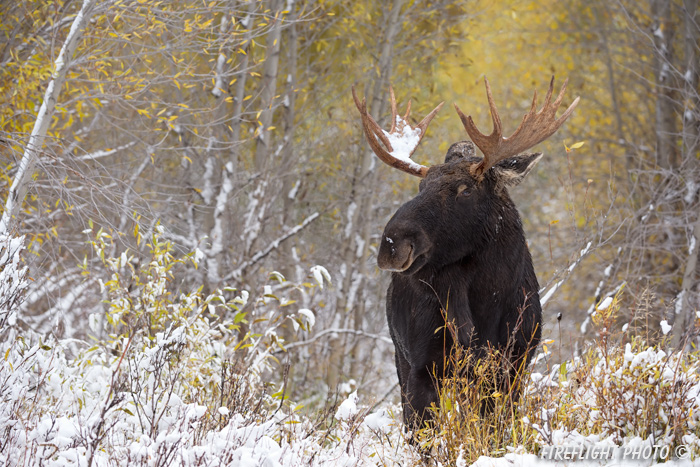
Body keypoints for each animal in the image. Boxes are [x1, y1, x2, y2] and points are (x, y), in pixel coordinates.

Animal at [352, 77, 576, 432]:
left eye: (466, 190)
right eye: (420, 187)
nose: (392, 243)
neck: (485, 304)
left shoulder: (513, 367)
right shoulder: (423, 367)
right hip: (402, 357)